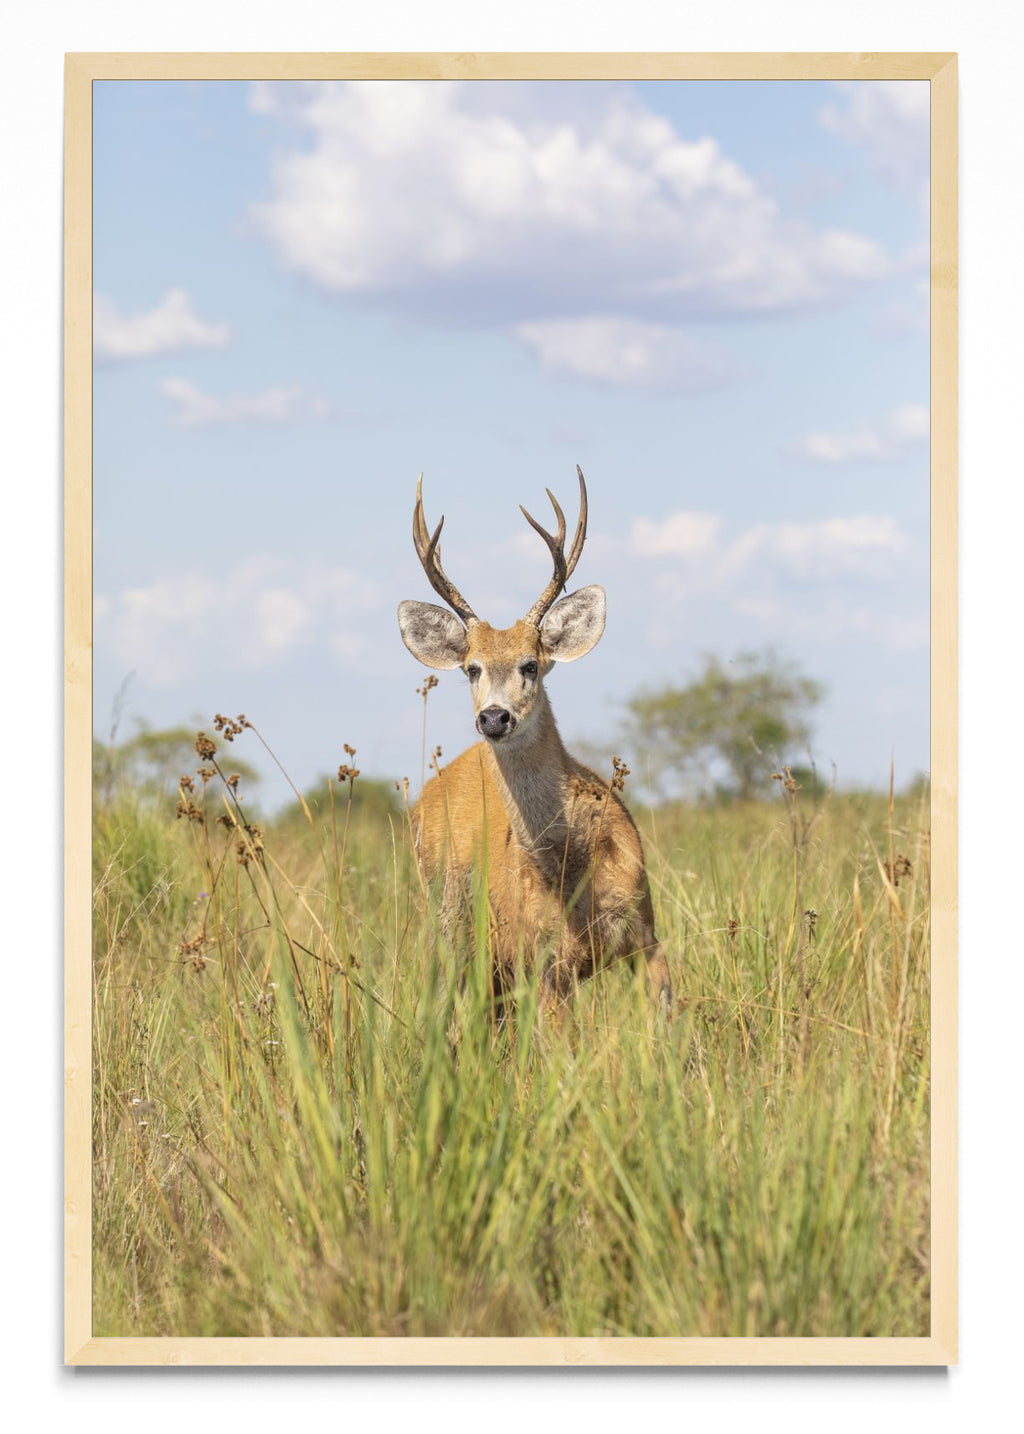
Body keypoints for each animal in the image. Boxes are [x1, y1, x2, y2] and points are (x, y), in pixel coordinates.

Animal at [397, 466, 672, 1022]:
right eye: (471, 668)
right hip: (447, 925)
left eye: (530, 664)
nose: (494, 717)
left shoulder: (646, 931)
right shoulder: (541, 961)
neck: (571, 869)